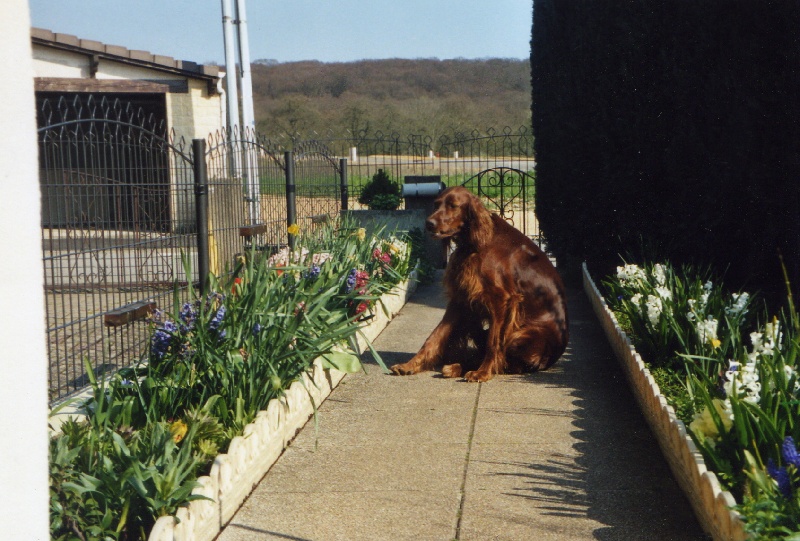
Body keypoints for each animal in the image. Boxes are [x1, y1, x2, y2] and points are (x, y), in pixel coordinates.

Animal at [390, 188, 568, 382]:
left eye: (453, 205)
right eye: (436, 204)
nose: (429, 223)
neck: (476, 241)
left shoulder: (501, 300)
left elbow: (493, 342)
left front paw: (483, 372)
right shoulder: (461, 298)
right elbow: (434, 337)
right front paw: (409, 365)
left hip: (523, 336)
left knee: (507, 360)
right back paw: (454, 367)